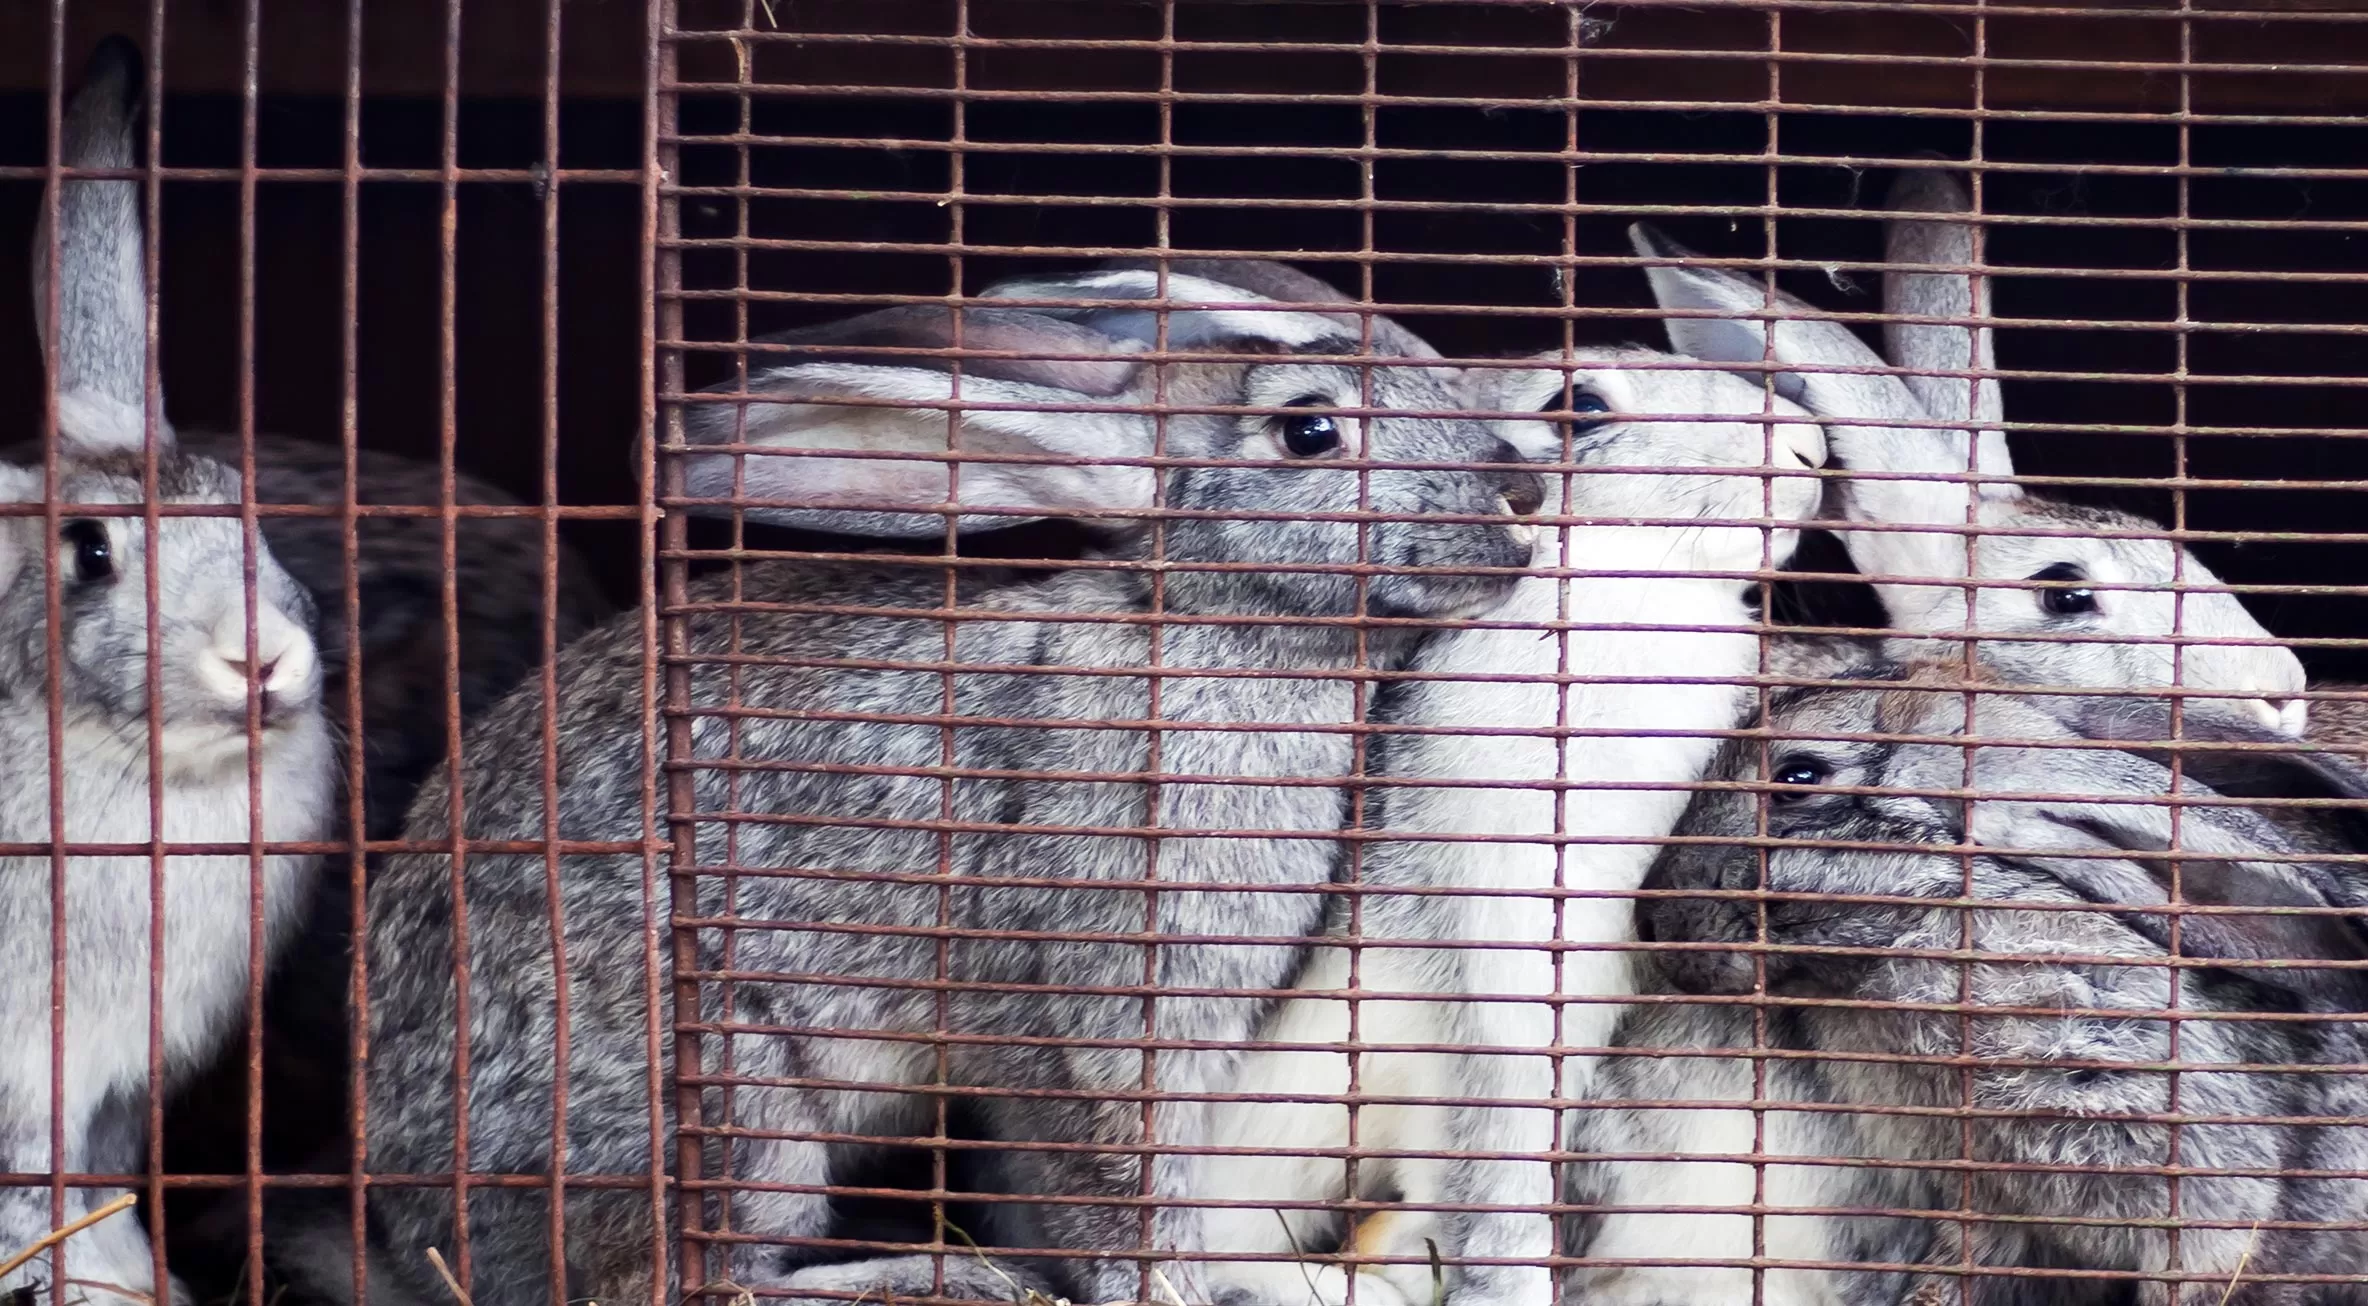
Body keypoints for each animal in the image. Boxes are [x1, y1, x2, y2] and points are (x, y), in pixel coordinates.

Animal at [344, 271, 1543, 1306]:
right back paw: (932, 1273)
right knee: (685, 1276)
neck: (1204, 629)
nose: (1522, 489)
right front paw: (1160, 1290)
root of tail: (417, 1208)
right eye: (1309, 432)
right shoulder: (1096, 1011)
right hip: (725, 1092)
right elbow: (1115, 1188)